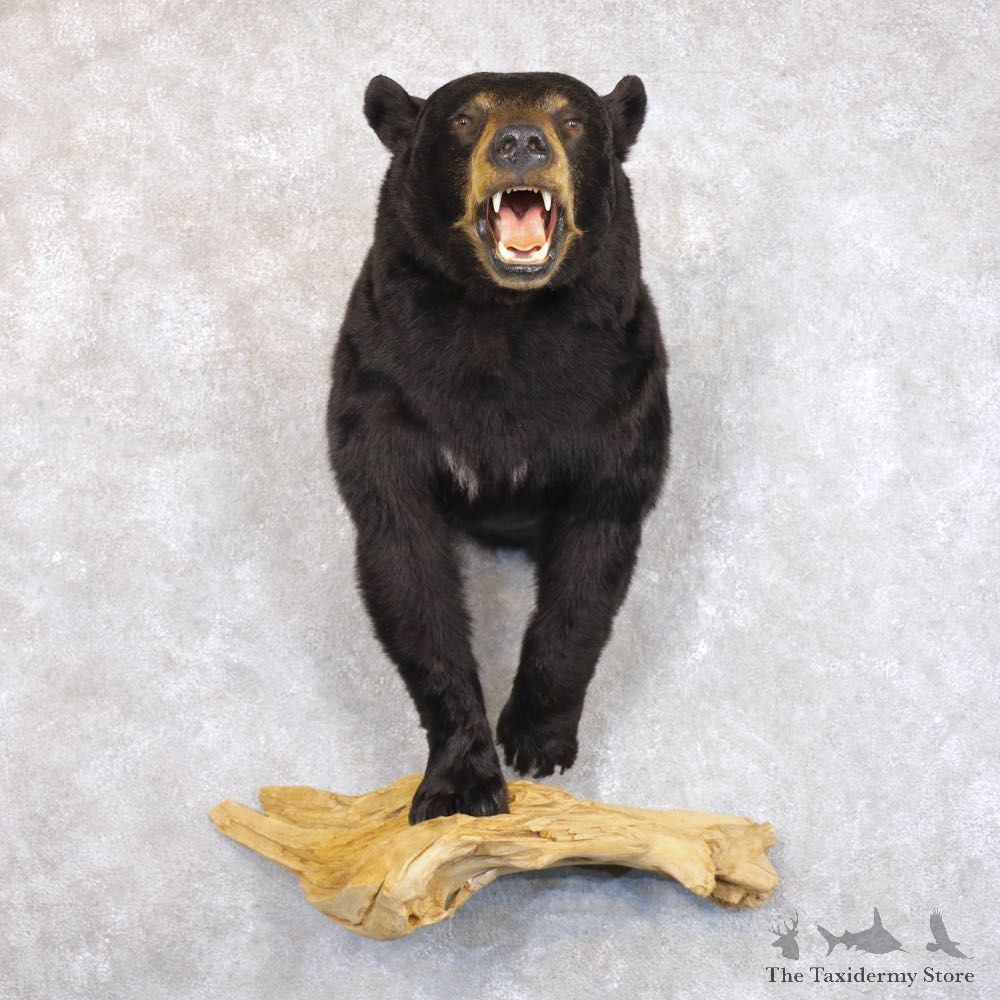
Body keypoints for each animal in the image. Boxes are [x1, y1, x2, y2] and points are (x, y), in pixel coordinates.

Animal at [326, 72, 669, 825]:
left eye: (573, 119)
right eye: (462, 118)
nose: (520, 143)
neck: (506, 319)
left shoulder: (616, 402)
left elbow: (586, 581)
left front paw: (537, 739)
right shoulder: (384, 392)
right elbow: (408, 572)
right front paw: (461, 781)